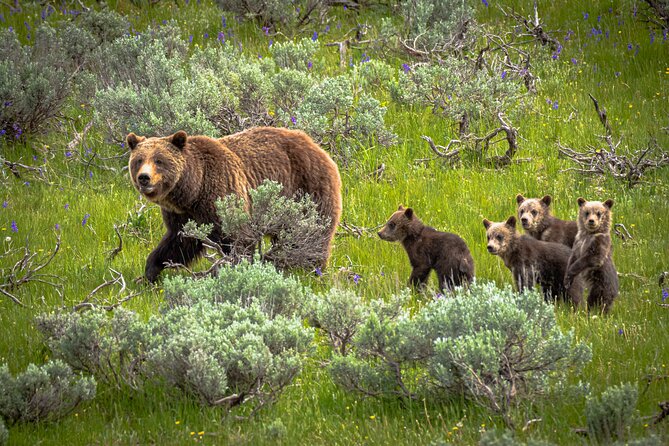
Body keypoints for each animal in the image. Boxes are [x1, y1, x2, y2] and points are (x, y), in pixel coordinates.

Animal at [127, 126, 342, 282]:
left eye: (159, 160)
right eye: (139, 160)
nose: (144, 177)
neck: (193, 190)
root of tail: (318, 147)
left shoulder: (222, 194)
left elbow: (240, 238)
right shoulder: (183, 215)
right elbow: (179, 243)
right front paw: (149, 273)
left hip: (307, 189)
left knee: (311, 233)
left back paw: (309, 268)